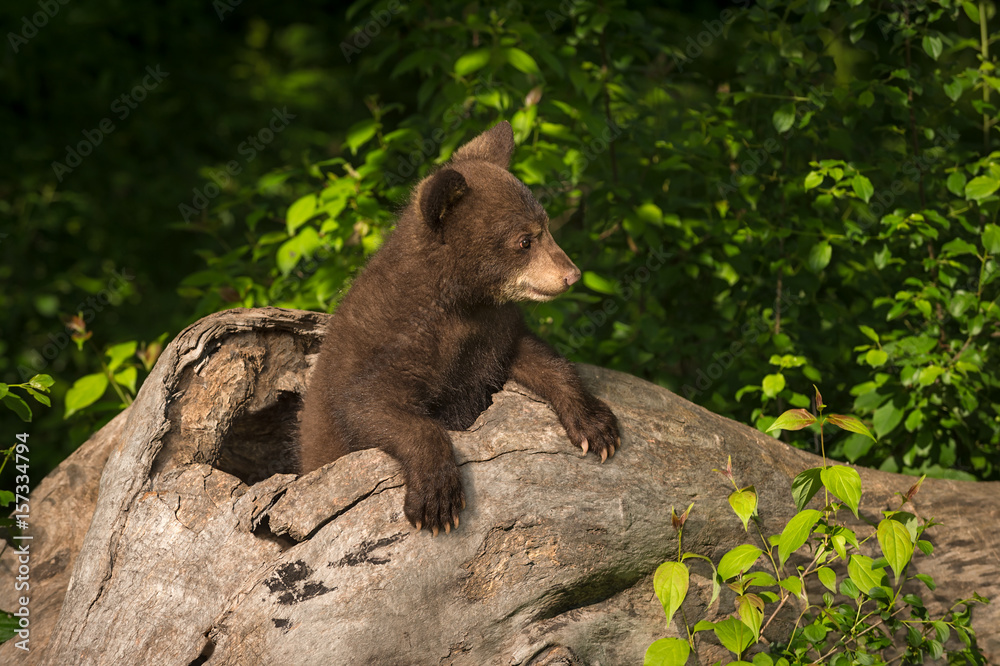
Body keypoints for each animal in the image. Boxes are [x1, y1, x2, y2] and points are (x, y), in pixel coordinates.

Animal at [298, 121, 620, 536]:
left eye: (546, 226)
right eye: (524, 241)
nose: (572, 275)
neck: (458, 303)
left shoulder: (493, 330)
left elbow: (541, 359)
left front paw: (596, 425)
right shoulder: (385, 342)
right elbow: (370, 406)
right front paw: (436, 499)